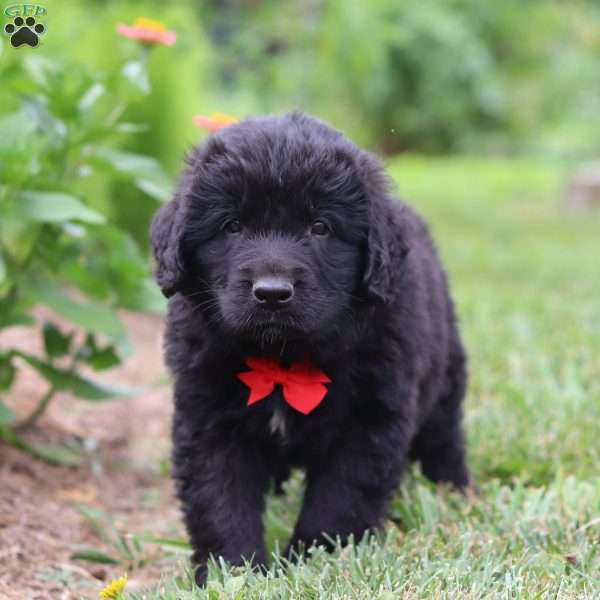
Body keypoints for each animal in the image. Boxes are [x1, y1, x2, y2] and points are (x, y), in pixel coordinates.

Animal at [150, 111, 468, 580]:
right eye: (232, 226)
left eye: (320, 227)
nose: (272, 293)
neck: (283, 358)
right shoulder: (207, 418)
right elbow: (220, 498)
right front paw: (234, 571)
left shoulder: (369, 421)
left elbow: (339, 502)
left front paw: (313, 562)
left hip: (445, 379)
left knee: (444, 437)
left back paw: (456, 492)